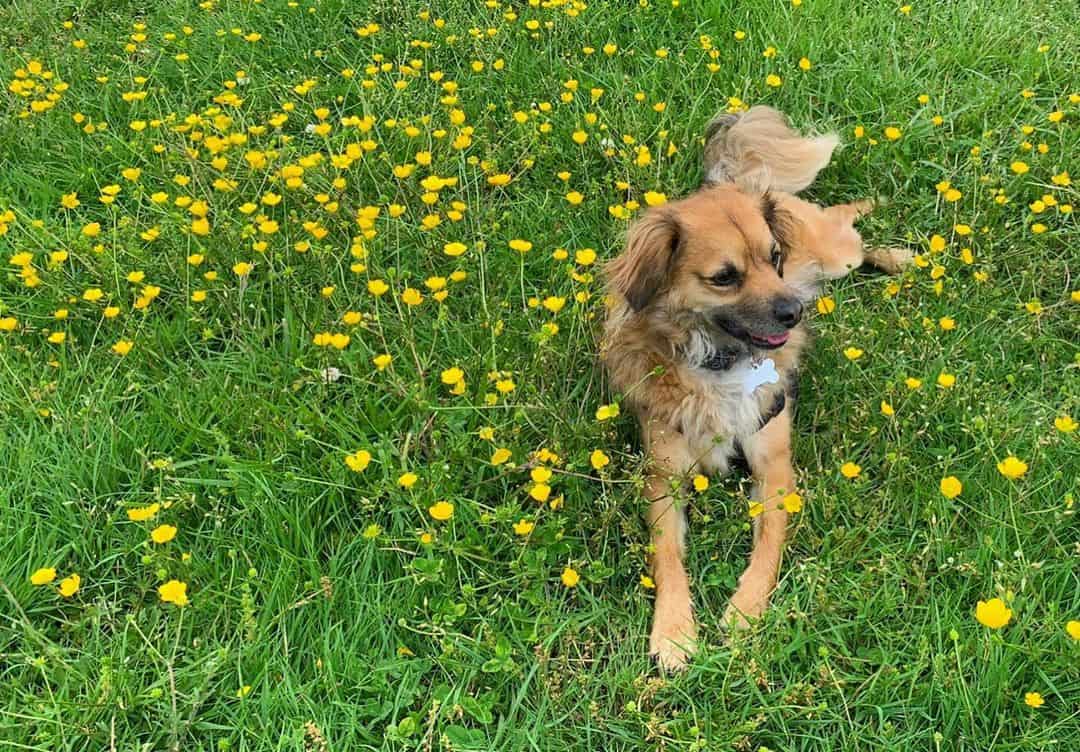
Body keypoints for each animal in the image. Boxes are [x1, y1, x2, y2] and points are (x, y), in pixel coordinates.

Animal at [600, 104, 911, 669]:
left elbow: (769, 547)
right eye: (724, 277)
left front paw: (745, 613)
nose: (795, 311)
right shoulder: (664, 478)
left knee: (849, 221)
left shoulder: (774, 465)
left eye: (774, 257)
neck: (721, 360)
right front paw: (674, 631)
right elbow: (667, 556)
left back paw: (897, 248)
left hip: (835, 252)